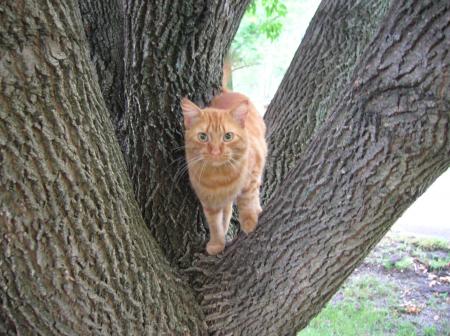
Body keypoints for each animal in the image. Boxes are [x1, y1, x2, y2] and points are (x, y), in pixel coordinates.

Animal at [181, 92, 268, 255]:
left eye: (228, 136)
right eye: (203, 137)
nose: (215, 152)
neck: (219, 177)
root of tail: (229, 92)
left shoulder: (251, 176)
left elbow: (247, 200)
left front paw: (249, 221)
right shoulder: (209, 202)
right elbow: (215, 224)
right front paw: (217, 243)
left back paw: (257, 210)